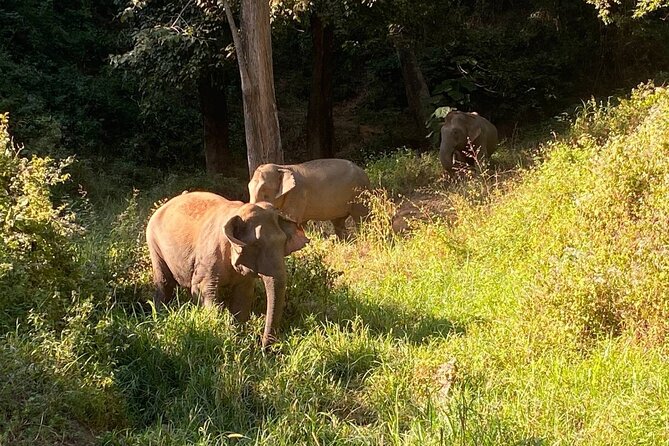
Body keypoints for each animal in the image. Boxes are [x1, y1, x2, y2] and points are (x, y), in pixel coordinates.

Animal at [145, 191, 309, 347]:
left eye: (283, 243)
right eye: (256, 245)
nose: (262, 348)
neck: (238, 211)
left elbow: (242, 296)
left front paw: (237, 337)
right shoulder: (209, 257)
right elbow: (203, 290)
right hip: (154, 243)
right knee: (164, 283)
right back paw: (159, 316)